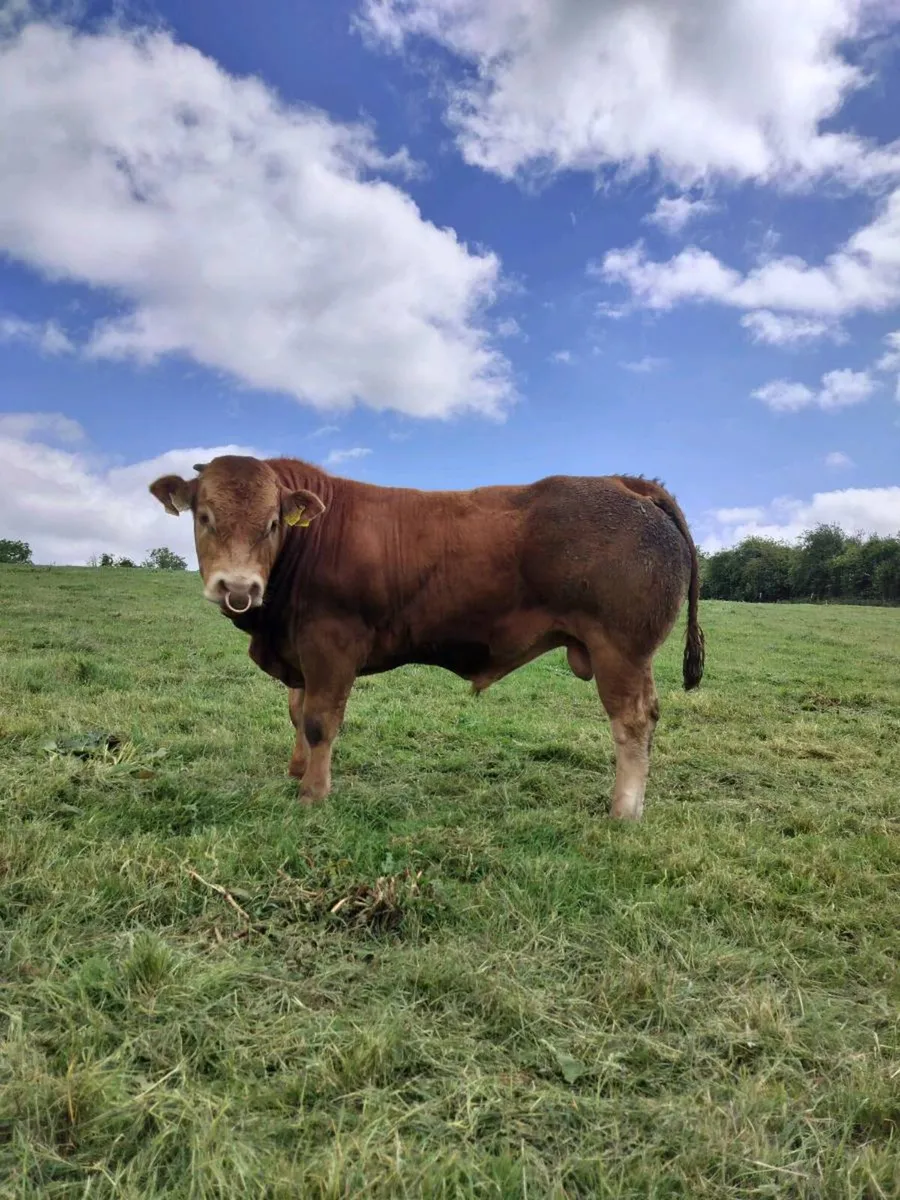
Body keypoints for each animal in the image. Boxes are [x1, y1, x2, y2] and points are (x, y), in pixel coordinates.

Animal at [149, 456, 704, 820]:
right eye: (205, 517)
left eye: (270, 524)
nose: (238, 587)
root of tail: (626, 482)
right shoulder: (300, 652)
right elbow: (297, 712)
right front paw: (296, 772)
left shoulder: (331, 645)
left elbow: (320, 721)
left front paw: (313, 794)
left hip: (621, 650)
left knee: (633, 722)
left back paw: (624, 810)